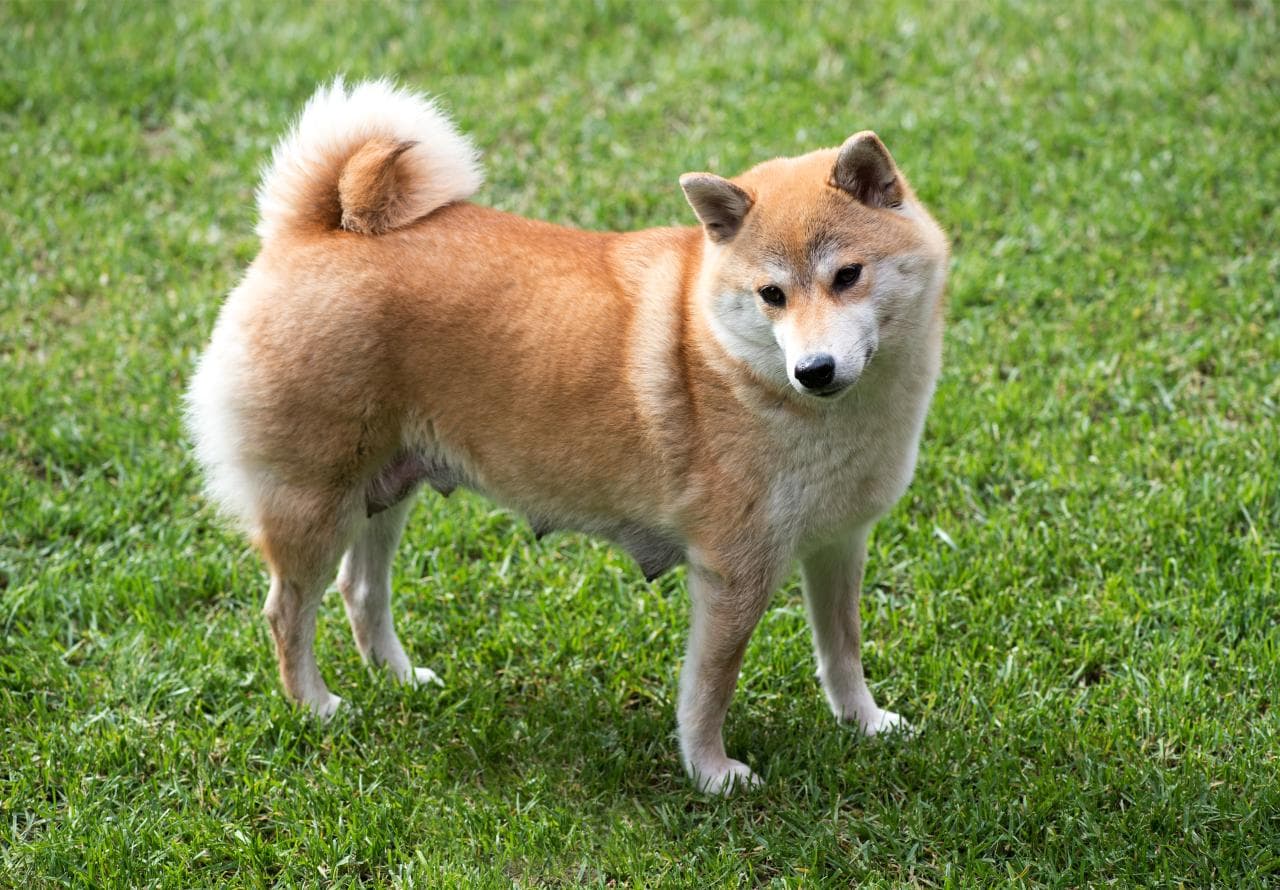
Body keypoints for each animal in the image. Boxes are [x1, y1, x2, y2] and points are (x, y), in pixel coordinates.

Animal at [189, 80, 952, 793]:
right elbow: (709, 691)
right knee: (287, 612)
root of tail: (313, 230)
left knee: (360, 592)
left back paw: (398, 679)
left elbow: (843, 651)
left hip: (384, 490)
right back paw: (316, 706)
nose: (813, 370)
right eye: (772, 295)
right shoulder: (734, 575)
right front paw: (711, 773)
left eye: (847, 275)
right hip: (315, 504)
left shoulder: (838, 543)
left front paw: (866, 724)